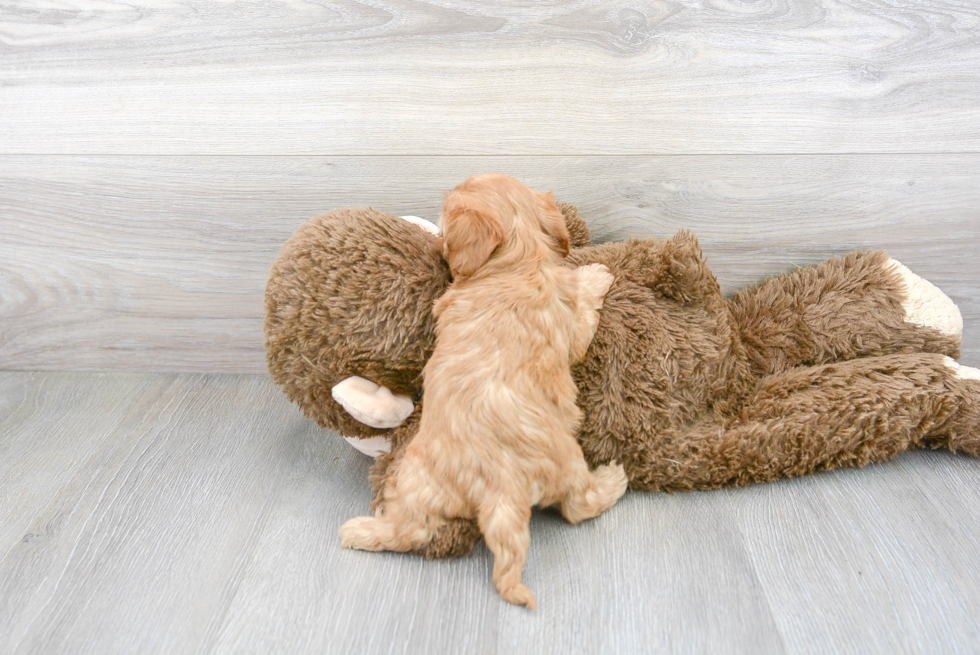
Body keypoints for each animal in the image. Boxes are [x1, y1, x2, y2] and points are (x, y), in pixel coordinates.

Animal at [338, 174, 628, 608]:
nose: (438, 241)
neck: (517, 259)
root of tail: (498, 482)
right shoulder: (571, 329)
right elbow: (584, 309)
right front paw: (596, 274)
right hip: (566, 460)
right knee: (579, 506)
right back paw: (613, 480)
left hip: (418, 477)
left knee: (410, 528)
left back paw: (362, 530)